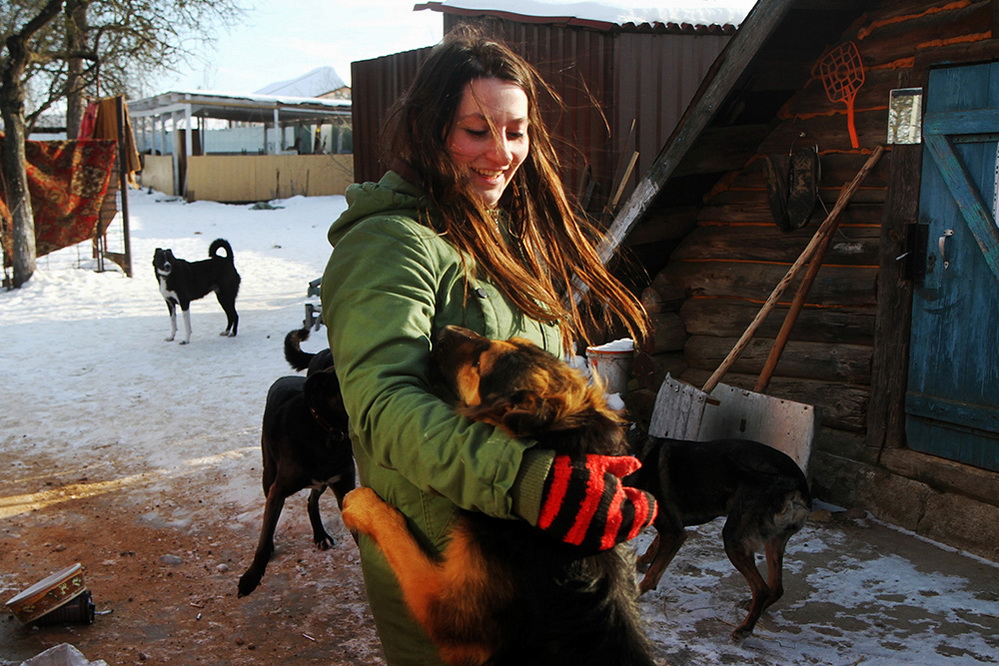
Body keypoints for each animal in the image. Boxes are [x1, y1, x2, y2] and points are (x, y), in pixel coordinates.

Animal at [236, 366, 354, 592]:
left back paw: (320, 534)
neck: (327, 432)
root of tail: (285, 377)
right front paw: (252, 575)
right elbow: (265, 534)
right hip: (268, 473)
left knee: (311, 502)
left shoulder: (344, 486)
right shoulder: (278, 490)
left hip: (321, 482)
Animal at [632, 436, 812, 640]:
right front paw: (639, 562)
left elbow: (652, 574)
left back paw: (745, 628)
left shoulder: (674, 532)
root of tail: (798, 488)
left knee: (762, 588)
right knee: (776, 587)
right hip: (774, 541)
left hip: (734, 539)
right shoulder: (672, 528)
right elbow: (652, 548)